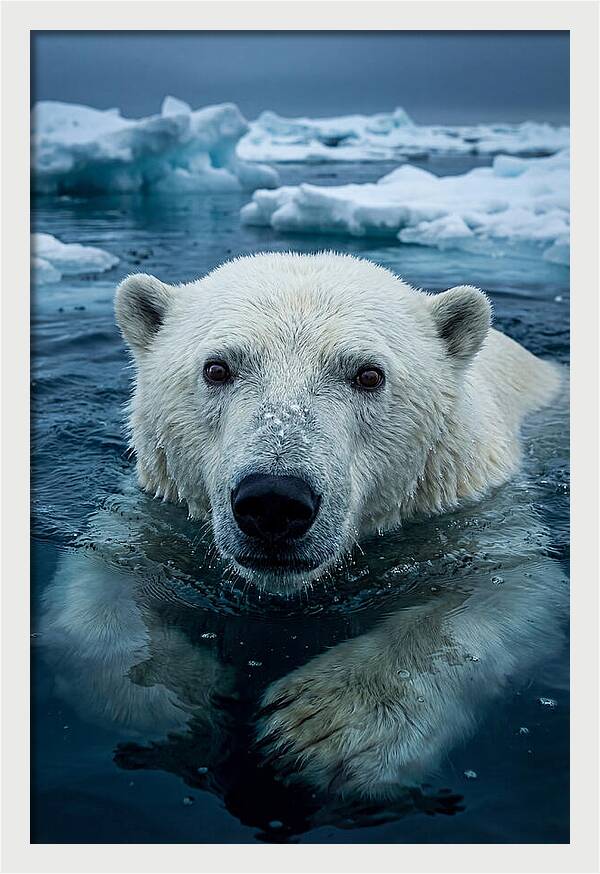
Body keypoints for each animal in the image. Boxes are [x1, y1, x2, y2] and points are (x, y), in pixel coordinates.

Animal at [38, 252, 567, 818]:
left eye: (368, 374)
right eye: (217, 368)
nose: (274, 501)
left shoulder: (473, 511)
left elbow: (506, 590)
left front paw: (321, 728)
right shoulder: (159, 512)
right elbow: (102, 584)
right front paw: (178, 697)